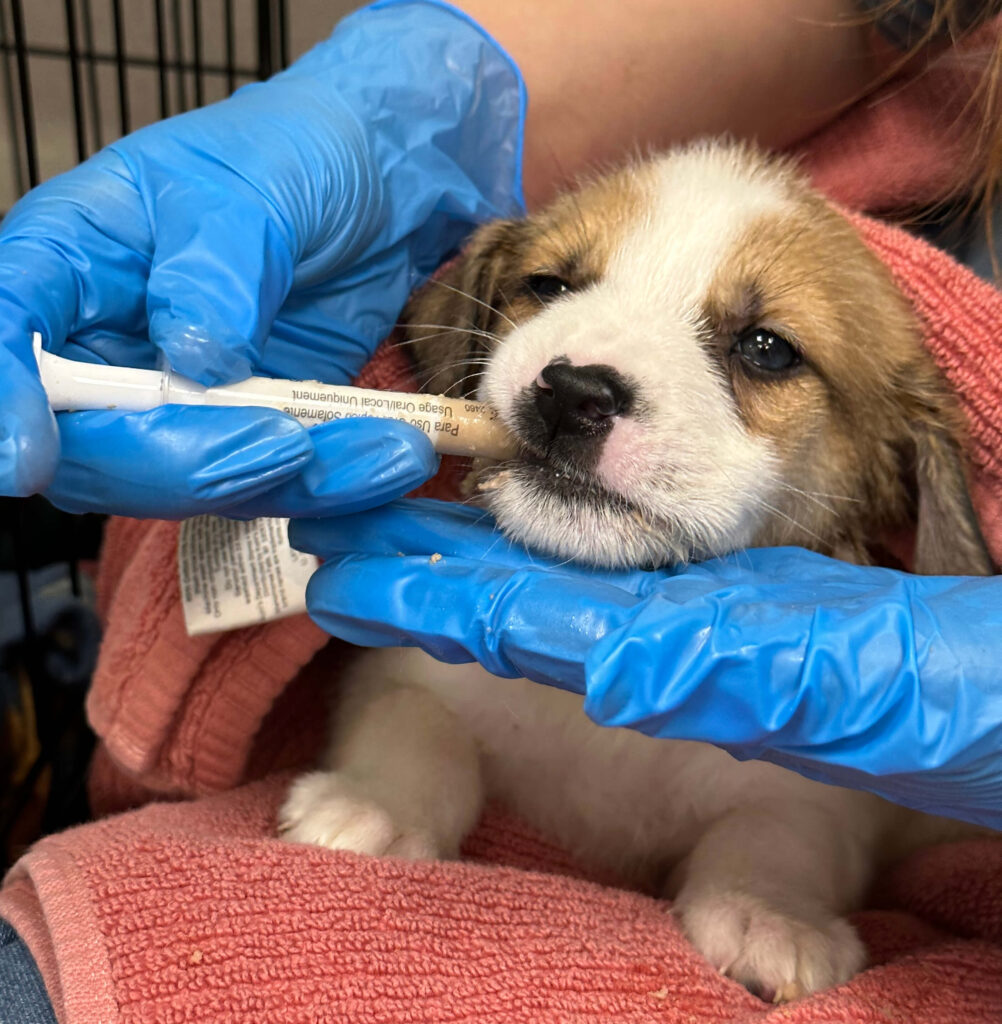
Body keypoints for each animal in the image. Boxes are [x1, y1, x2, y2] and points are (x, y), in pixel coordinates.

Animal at [278, 140, 998, 1003]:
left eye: (767, 348)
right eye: (549, 286)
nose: (571, 392)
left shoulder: (828, 795)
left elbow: (779, 836)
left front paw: (769, 916)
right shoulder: (398, 674)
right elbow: (416, 728)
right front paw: (375, 805)